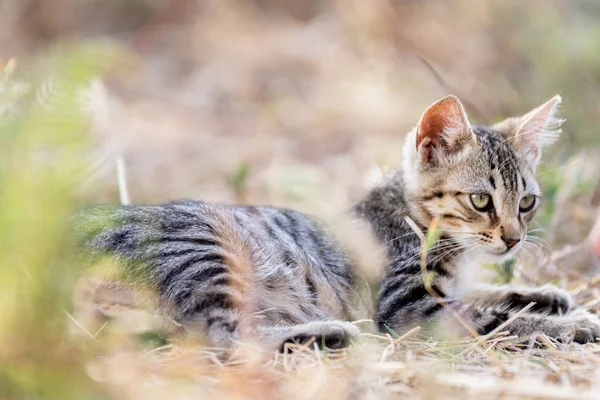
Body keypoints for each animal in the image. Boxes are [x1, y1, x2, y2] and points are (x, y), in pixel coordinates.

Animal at [356, 94, 600, 344]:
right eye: (480, 200)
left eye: (526, 202)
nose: (513, 240)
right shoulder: (407, 305)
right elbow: (499, 321)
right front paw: (569, 324)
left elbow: (481, 291)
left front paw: (541, 295)